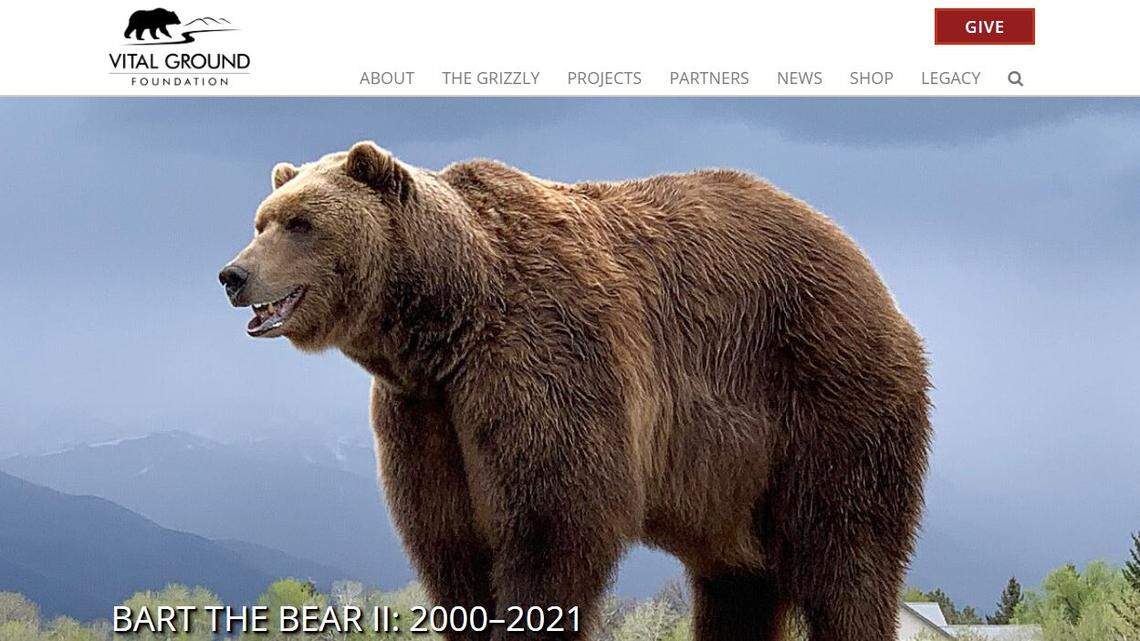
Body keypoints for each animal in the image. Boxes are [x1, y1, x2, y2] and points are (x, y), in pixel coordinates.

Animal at [219, 142, 932, 641]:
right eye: (261, 221)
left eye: (302, 223)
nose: (233, 274)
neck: (446, 326)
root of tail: (864, 264)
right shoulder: (426, 415)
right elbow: (450, 543)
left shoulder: (545, 367)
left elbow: (551, 527)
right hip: (735, 483)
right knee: (739, 582)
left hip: (826, 398)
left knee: (847, 555)